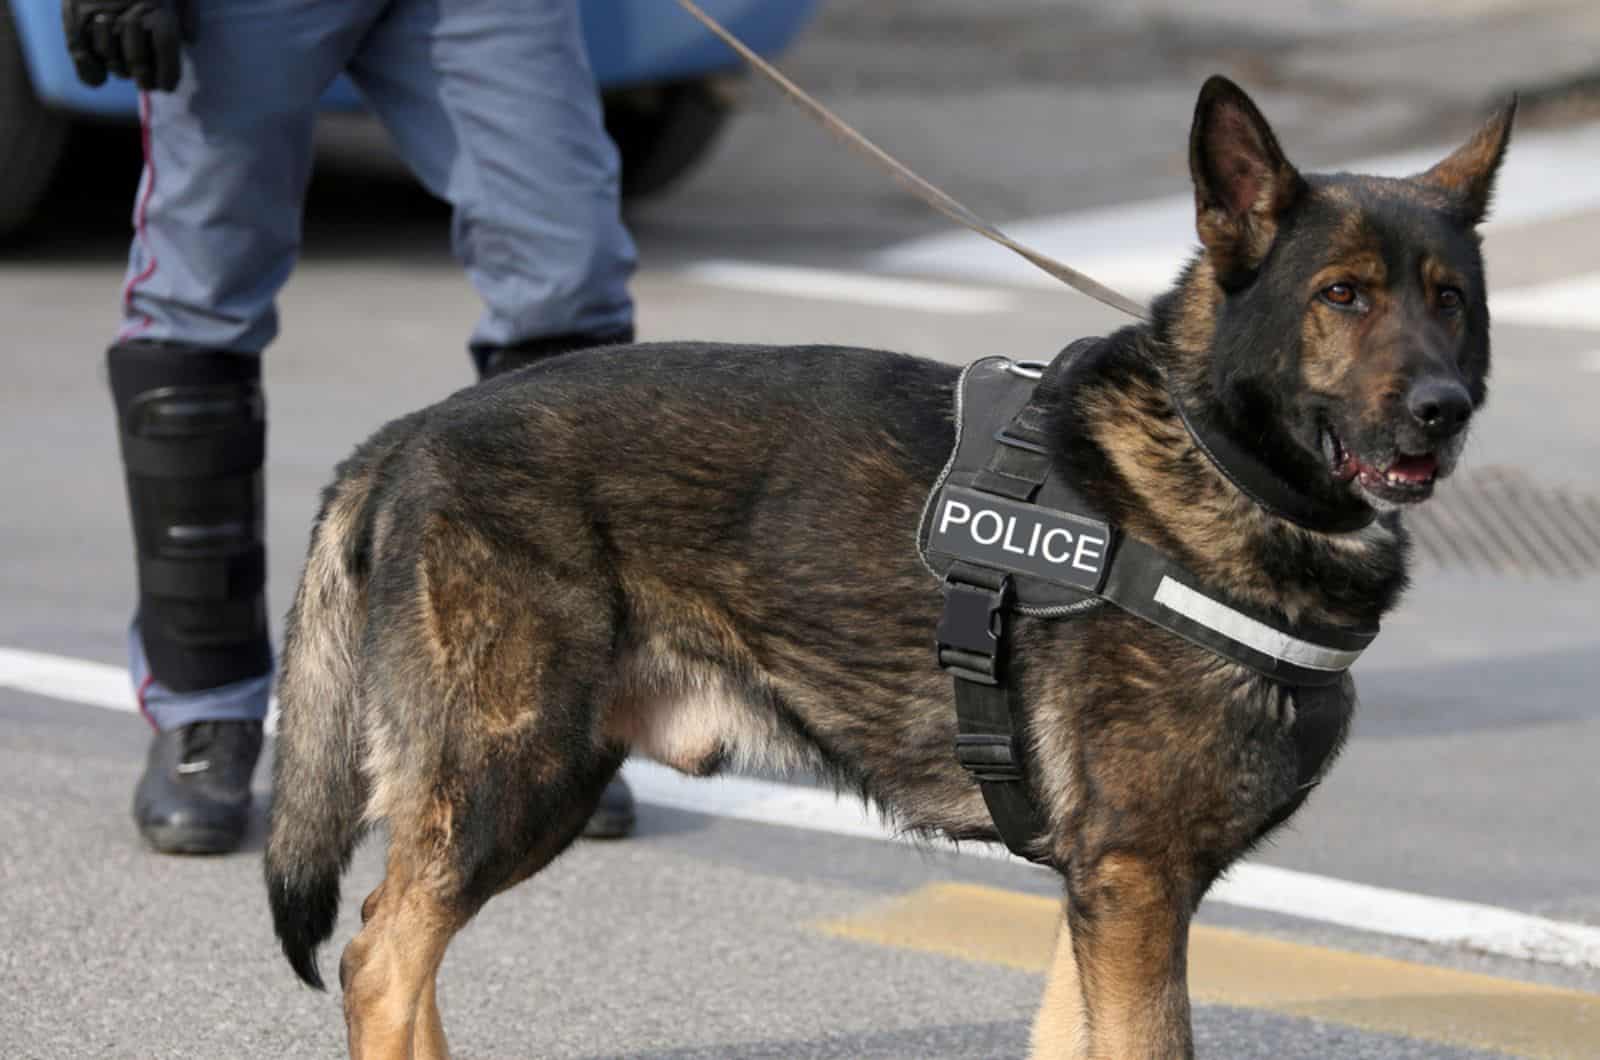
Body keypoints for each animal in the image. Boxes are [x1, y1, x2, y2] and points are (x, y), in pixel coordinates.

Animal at [265, 76, 1510, 1060]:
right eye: (1342, 295)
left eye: (1449, 299)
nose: (1441, 411)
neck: (1211, 453)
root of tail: (410, 432)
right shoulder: (1135, 884)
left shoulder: (1099, 898)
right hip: (517, 772)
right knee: (380, 957)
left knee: (401, 954)